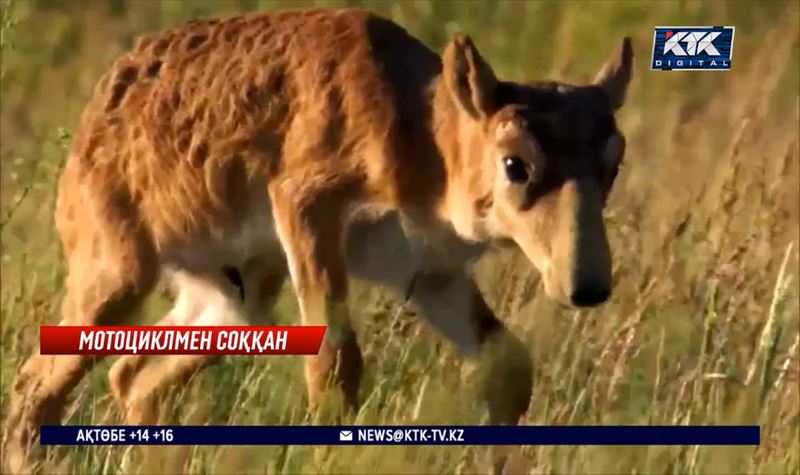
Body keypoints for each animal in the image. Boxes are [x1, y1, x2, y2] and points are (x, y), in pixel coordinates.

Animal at [3, 6, 636, 472]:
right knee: (36, 384)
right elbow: (335, 364)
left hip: (238, 301)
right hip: (118, 276)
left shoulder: (430, 272)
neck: (423, 138)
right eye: (515, 165)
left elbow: (507, 363)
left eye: (613, 163)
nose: (586, 287)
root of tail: (94, 116)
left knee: (132, 376)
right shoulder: (307, 207)